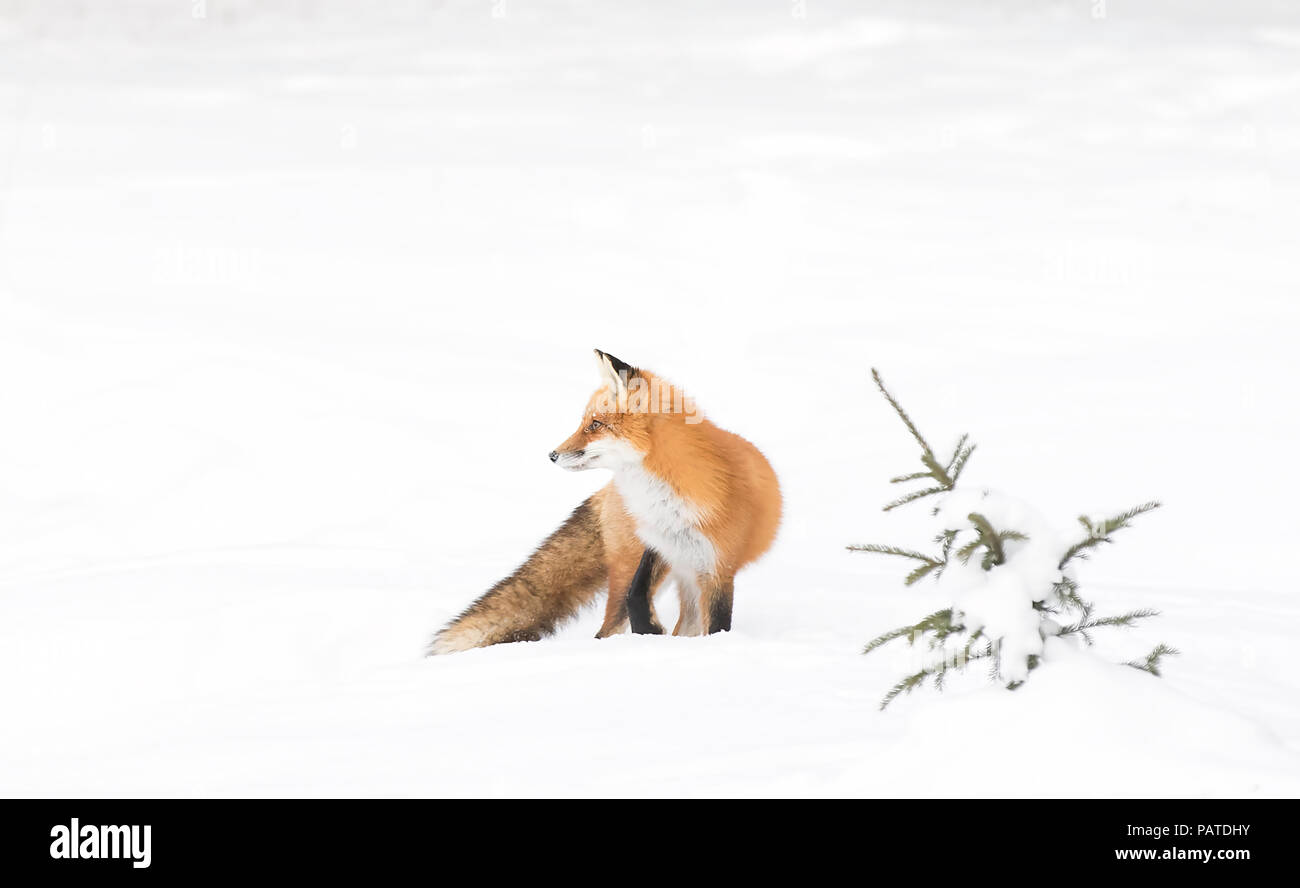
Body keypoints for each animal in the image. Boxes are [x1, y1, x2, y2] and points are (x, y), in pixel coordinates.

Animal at [431, 353, 780, 652]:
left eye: (595, 424)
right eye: (585, 421)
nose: (552, 455)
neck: (668, 498)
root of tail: (609, 490)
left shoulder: (718, 567)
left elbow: (718, 625)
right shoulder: (657, 544)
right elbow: (636, 595)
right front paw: (650, 633)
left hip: (689, 576)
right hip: (640, 568)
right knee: (611, 625)